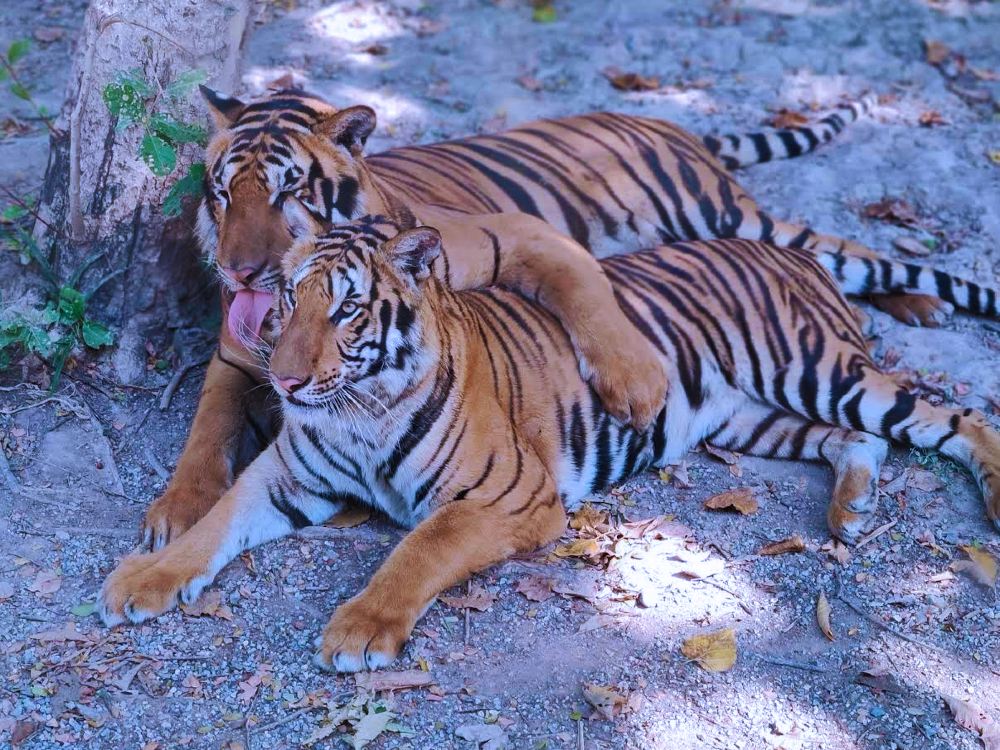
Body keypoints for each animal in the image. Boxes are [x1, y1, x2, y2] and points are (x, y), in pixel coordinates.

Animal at [98, 217, 1000, 674]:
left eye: (348, 311)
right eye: (288, 298)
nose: (282, 380)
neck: (360, 408)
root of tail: (786, 248)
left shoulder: (508, 497)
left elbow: (419, 549)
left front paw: (359, 630)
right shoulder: (286, 476)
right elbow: (216, 523)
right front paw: (142, 581)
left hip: (816, 371)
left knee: (948, 417)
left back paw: (987, 491)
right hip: (751, 417)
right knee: (858, 440)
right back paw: (849, 511)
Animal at [142, 85, 997, 550]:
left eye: (289, 189)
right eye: (223, 190)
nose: (241, 271)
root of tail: (670, 123)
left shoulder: (517, 235)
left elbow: (589, 295)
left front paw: (636, 386)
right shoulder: (237, 358)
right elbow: (207, 426)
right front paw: (177, 512)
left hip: (735, 221)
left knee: (857, 257)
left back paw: (922, 300)